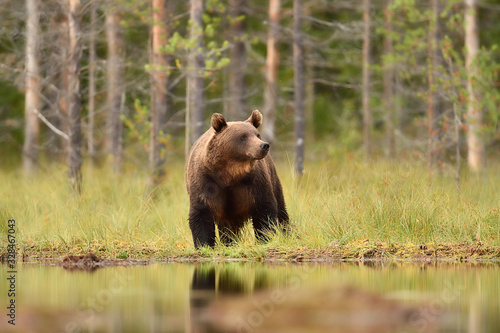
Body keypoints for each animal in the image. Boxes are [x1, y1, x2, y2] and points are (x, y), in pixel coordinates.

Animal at [186, 110, 290, 248]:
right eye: (243, 136)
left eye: (257, 135)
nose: (264, 146)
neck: (230, 173)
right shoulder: (205, 180)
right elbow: (201, 213)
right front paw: (204, 244)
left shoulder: (255, 181)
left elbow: (264, 209)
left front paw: (264, 238)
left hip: (273, 177)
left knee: (281, 209)